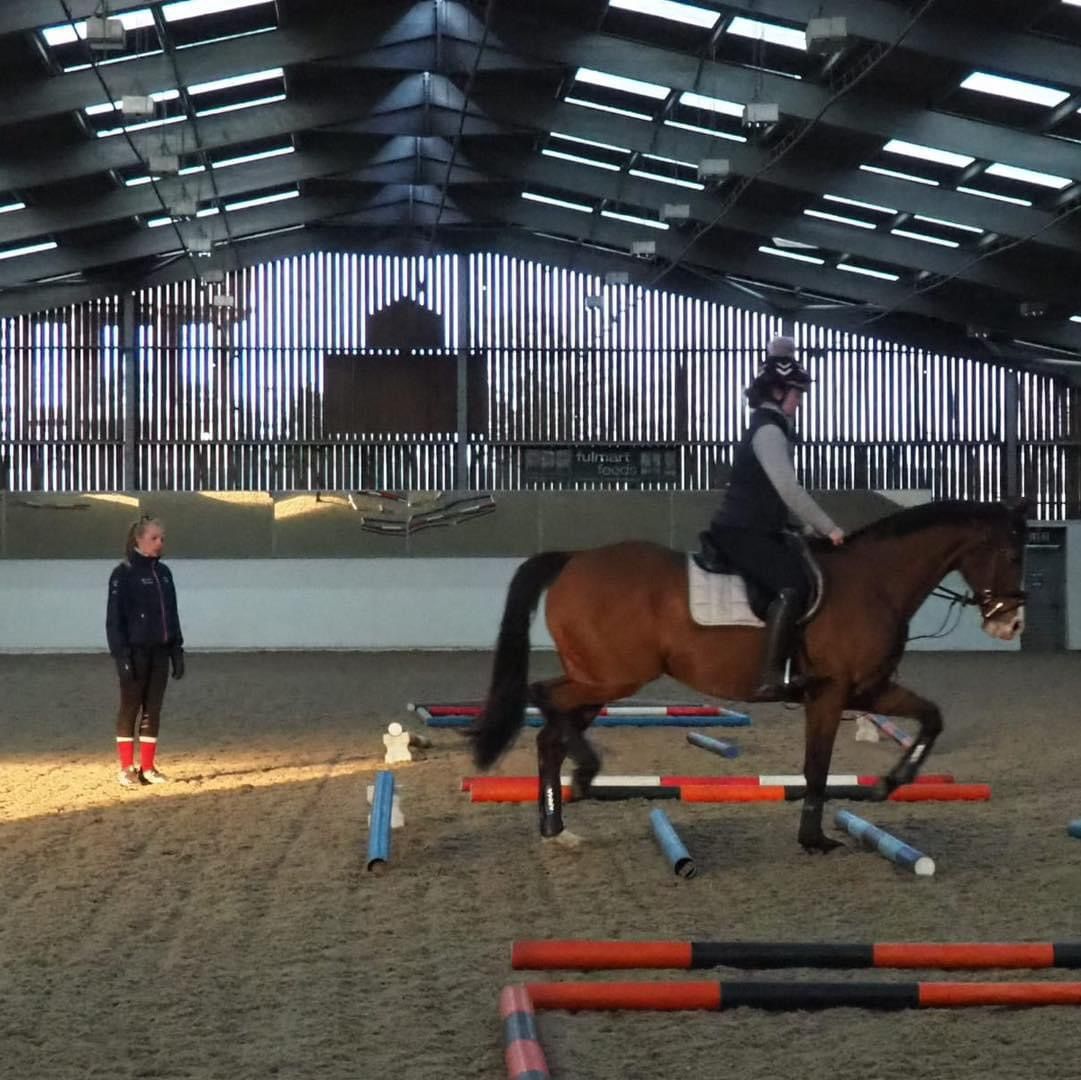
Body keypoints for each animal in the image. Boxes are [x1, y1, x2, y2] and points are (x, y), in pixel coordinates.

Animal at [469, 501, 1024, 856]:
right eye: (1011, 553)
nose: (1011, 625)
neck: (874, 581)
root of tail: (574, 559)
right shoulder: (832, 694)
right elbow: (817, 768)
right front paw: (815, 839)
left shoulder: (868, 690)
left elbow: (932, 717)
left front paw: (892, 781)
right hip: (612, 679)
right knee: (544, 698)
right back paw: (584, 774)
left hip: (601, 679)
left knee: (550, 734)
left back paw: (557, 825)